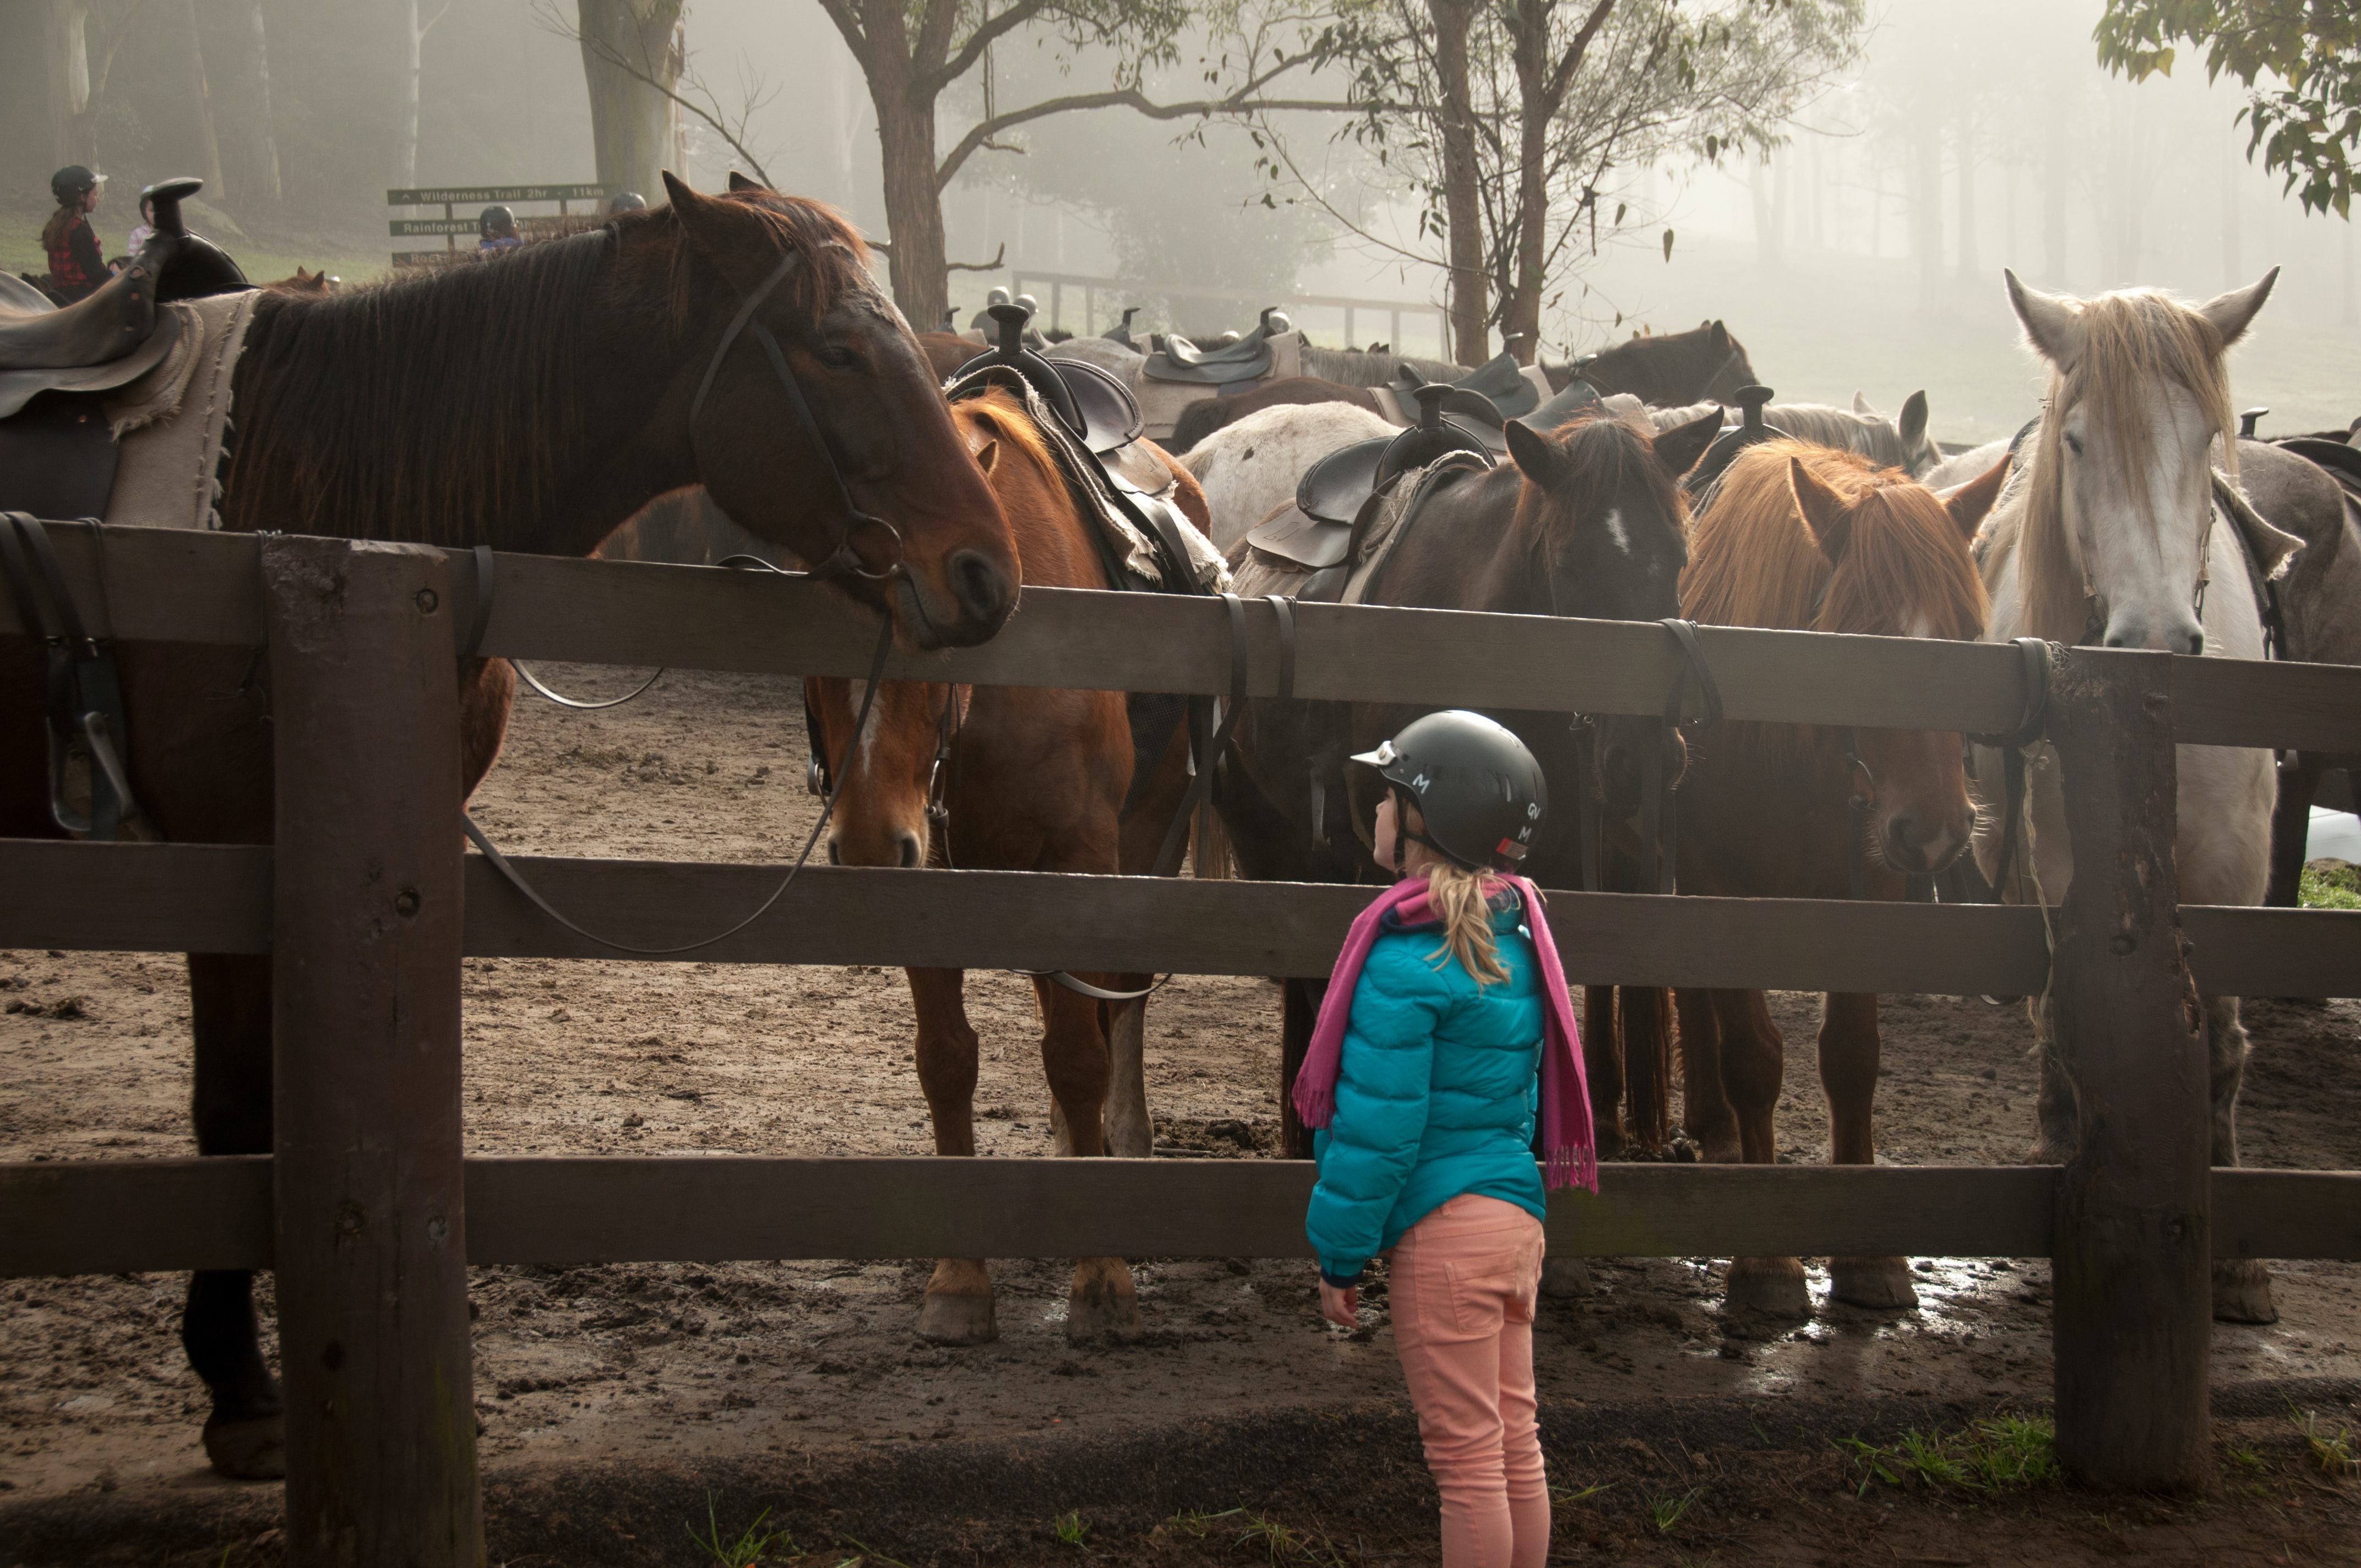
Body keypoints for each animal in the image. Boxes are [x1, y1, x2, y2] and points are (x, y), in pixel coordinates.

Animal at [9, 177, 1024, 1473]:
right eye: (838, 350)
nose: (986, 573)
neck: (311, 508)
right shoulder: (229, 857)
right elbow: (233, 1113)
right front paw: (239, 1387)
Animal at [807, 389, 1209, 1351]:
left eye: (939, 632)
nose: (869, 845)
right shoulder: (933, 879)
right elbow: (948, 1061)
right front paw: (959, 1280)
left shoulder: (1081, 864)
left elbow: (1080, 1056)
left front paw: (1102, 1275)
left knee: (1118, 1009)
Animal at [1643, 446, 2011, 1313]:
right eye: (1859, 640)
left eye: (1970, 636)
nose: (1936, 828)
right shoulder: (1722, 895)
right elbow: (1754, 1058)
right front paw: (1767, 1264)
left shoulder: (1869, 895)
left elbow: (1851, 1057)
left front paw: (1870, 1260)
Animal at [1983, 269, 2294, 1322]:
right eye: (2077, 442)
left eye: (2203, 436)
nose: (2156, 636)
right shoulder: (2060, 862)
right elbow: (2072, 1011)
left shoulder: (2235, 867)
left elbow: (2224, 1043)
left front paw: (2237, 1262)